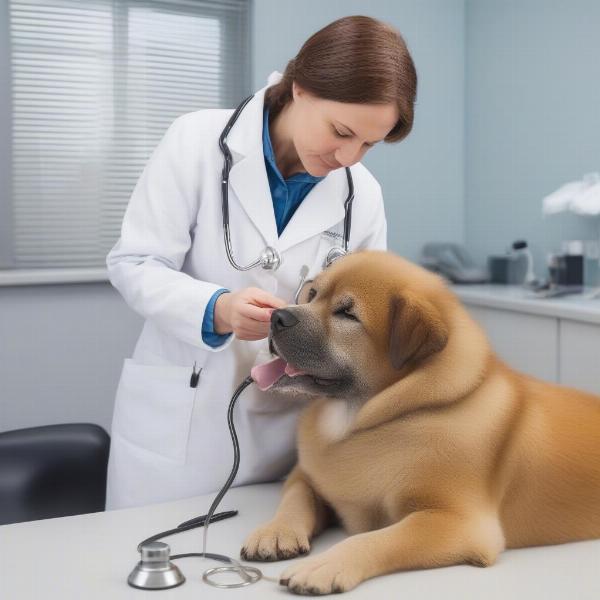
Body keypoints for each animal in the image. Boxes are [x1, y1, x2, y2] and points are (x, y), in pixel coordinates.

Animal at [240, 250, 600, 596]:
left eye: (347, 314)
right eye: (312, 294)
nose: (277, 316)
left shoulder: (457, 523)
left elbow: (377, 539)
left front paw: (327, 564)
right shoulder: (306, 475)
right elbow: (296, 495)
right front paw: (277, 530)